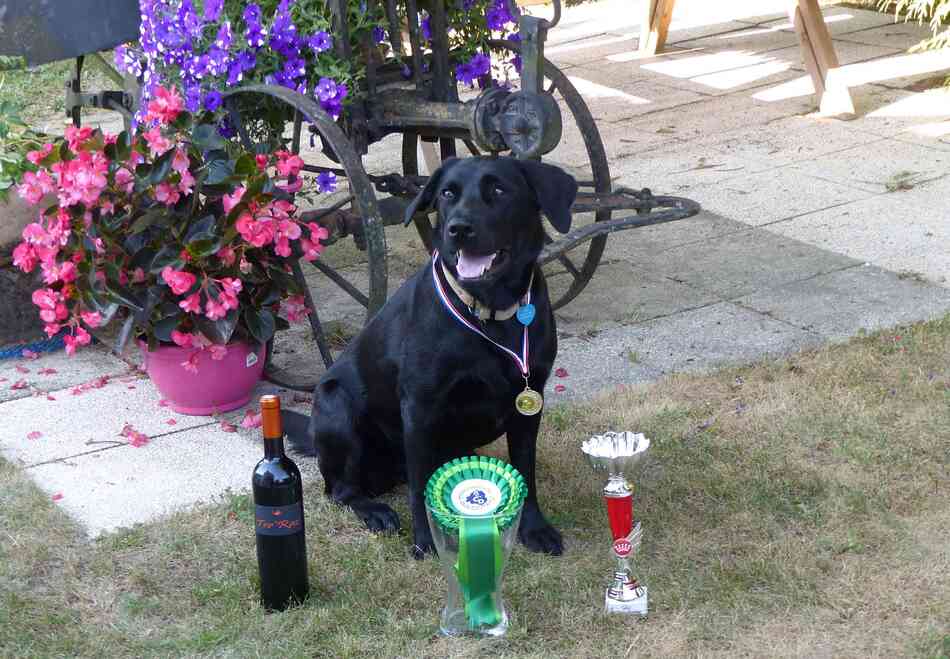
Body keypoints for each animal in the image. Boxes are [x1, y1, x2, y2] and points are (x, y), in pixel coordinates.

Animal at [282, 157, 576, 560]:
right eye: (448, 194)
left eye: (499, 189)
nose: (458, 228)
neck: (487, 312)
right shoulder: (420, 407)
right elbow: (420, 487)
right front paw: (426, 540)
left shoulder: (530, 402)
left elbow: (525, 470)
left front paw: (534, 529)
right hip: (335, 404)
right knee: (341, 490)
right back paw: (374, 511)